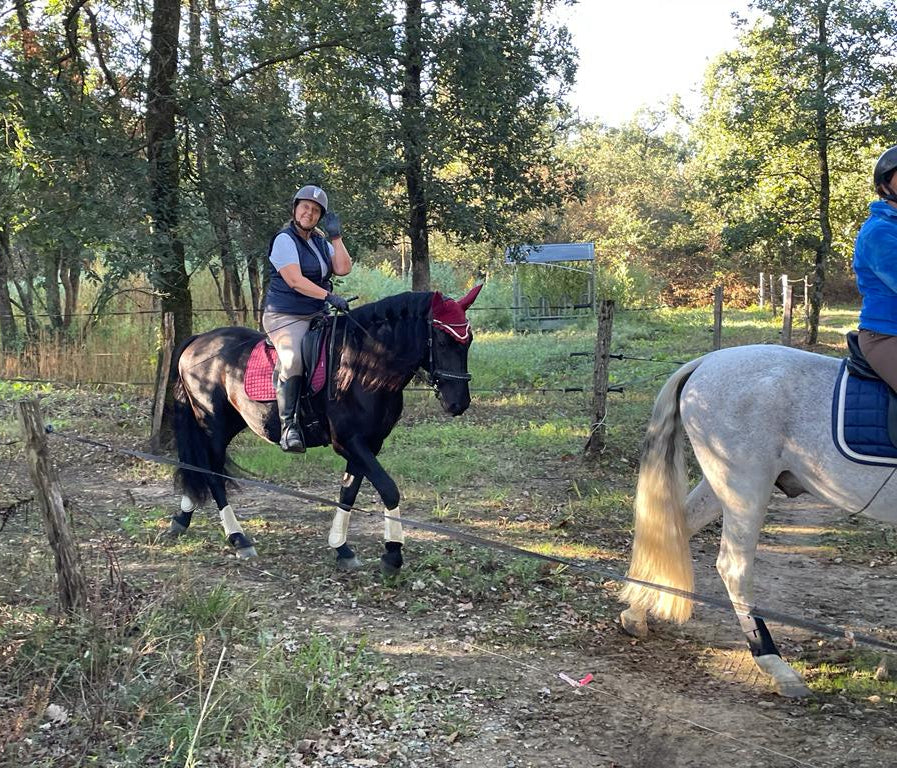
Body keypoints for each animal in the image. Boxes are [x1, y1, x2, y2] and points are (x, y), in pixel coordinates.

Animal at [167, 286, 482, 574]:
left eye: (468, 341)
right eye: (441, 340)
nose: (458, 403)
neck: (364, 365)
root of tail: (198, 341)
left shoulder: (369, 443)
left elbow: (348, 492)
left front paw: (342, 548)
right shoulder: (349, 442)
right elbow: (389, 490)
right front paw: (392, 554)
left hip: (232, 422)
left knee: (201, 467)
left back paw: (182, 519)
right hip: (213, 424)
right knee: (212, 472)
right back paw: (238, 538)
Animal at [618, 342, 897, 697]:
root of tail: (707, 361)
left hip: (720, 486)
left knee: (671, 533)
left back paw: (635, 613)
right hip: (746, 488)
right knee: (733, 569)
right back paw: (776, 665)